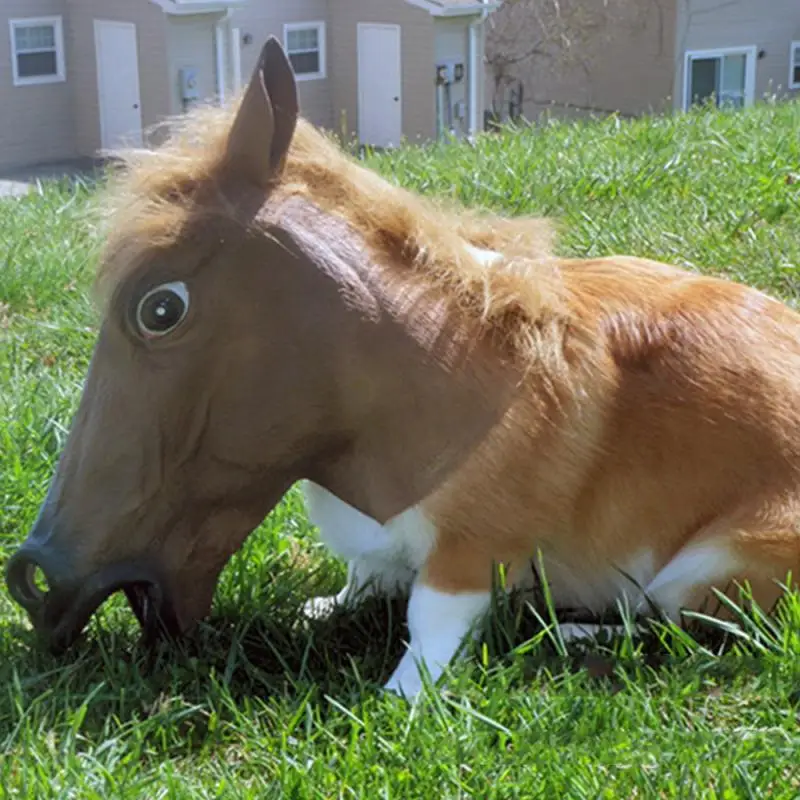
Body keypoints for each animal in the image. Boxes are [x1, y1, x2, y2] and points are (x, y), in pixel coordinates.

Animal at [6, 37, 800, 701]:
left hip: (717, 565)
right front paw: (324, 603)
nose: (33, 579)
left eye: (160, 308)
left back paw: (570, 630)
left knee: (684, 625)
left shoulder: (470, 549)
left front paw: (403, 697)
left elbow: (432, 621)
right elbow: (365, 579)